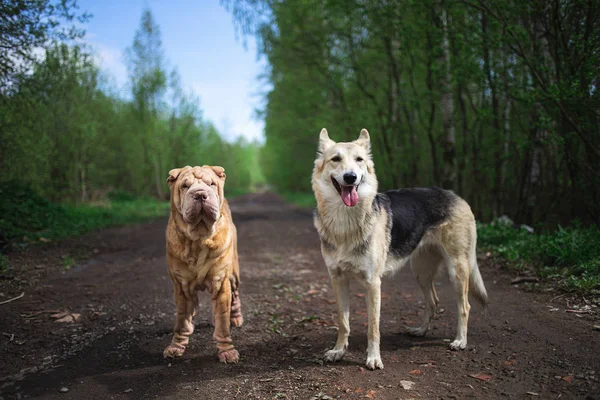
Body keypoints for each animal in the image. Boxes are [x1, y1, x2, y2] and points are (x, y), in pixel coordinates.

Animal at [163, 164, 243, 364]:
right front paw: (176, 346)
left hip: (234, 275)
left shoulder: (221, 282)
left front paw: (227, 351)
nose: (200, 194)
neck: (198, 239)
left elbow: (222, 322)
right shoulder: (181, 285)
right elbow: (182, 320)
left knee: (235, 296)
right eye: (185, 186)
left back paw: (236, 317)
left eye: (212, 184)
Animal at [312, 128, 490, 368]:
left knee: (465, 307)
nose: (351, 177)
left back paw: (460, 341)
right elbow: (343, 321)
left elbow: (373, 328)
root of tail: (456, 195)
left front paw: (373, 358)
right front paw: (339, 351)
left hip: (457, 270)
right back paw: (421, 330)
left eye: (359, 160)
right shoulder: (338, 280)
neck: (345, 223)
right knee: (433, 301)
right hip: (421, 272)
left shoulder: (373, 284)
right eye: (336, 159)